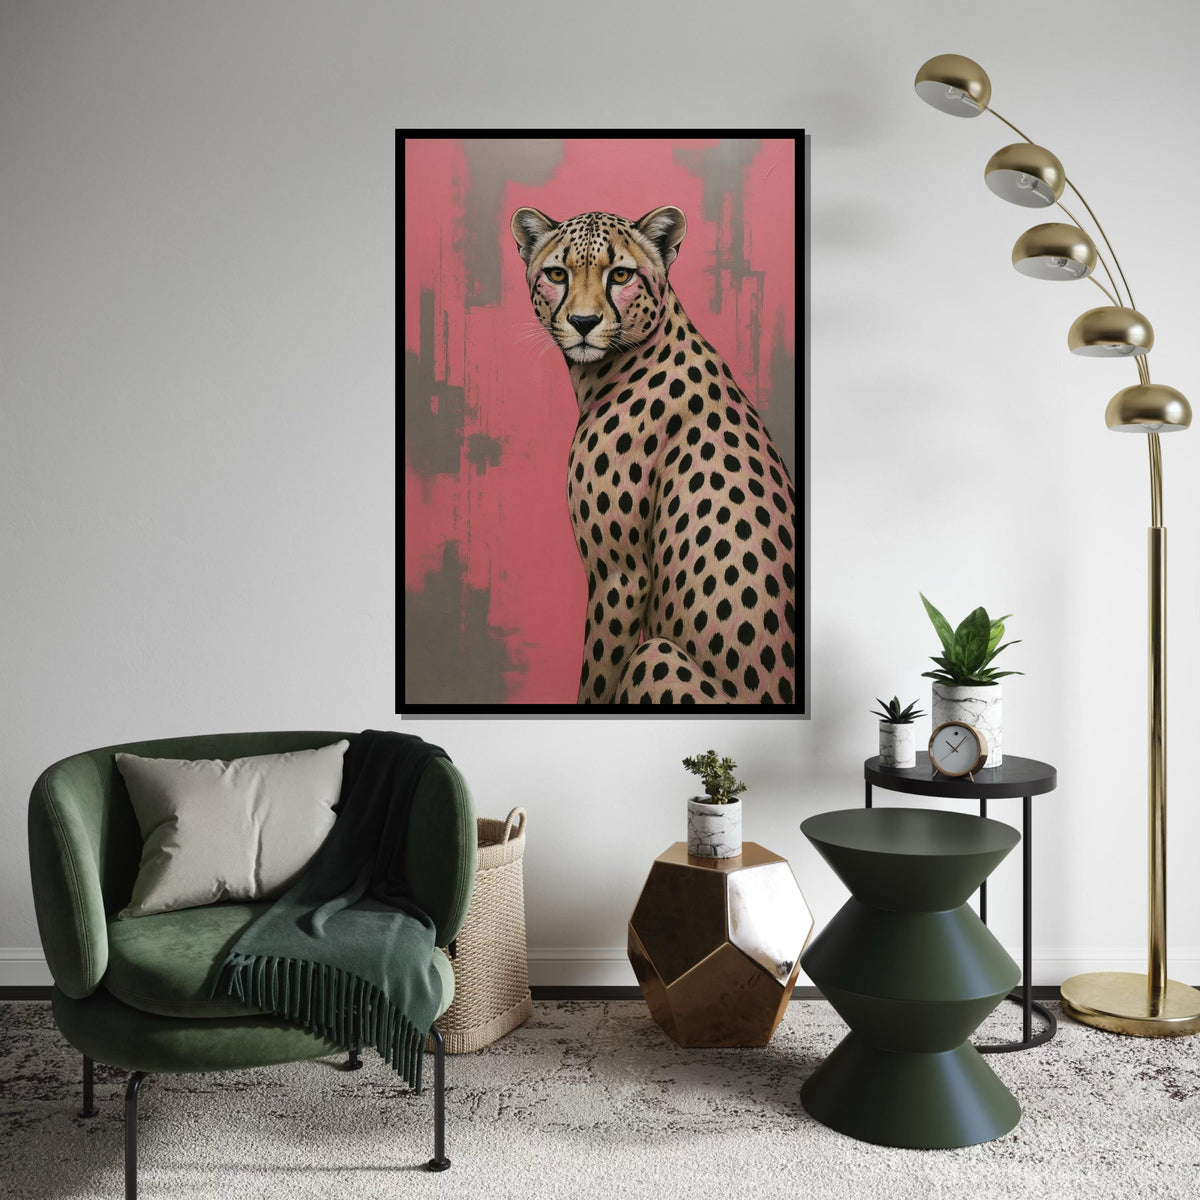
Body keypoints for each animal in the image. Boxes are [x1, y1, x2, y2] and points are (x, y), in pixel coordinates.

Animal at [510, 204, 796, 705]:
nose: (583, 323)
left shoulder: (619, 576)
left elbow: (597, 681)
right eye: (558, 274)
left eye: (621, 274)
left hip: (654, 655)